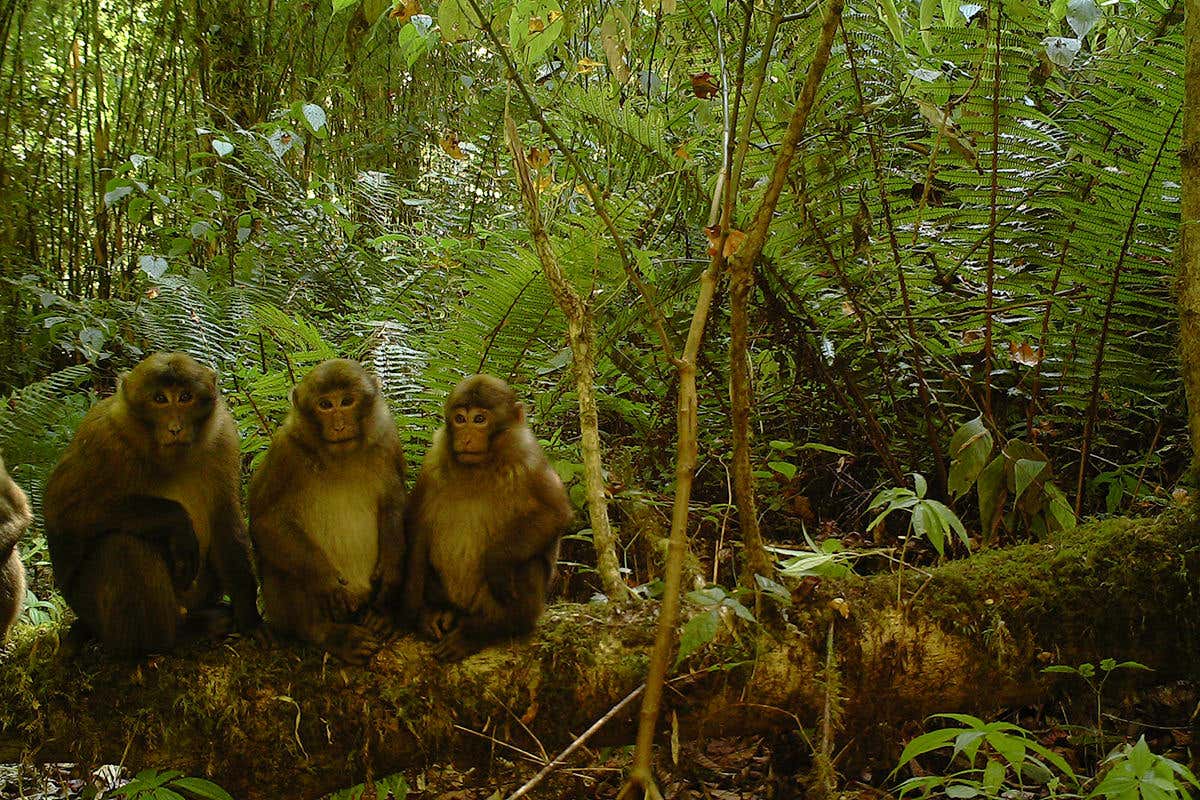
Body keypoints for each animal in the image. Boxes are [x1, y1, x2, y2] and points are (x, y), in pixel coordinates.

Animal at [43, 352, 261, 656]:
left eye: (185, 397)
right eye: (160, 399)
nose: (175, 428)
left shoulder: (224, 437)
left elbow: (225, 520)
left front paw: (249, 617)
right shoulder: (100, 436)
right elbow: (61, 513)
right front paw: (177, 522)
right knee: (123, 546)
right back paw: (171, 638)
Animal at [248, 359, 407, 665]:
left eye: (346, 401)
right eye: (325, 405)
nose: (339, 424)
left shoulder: (387, 440)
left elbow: (394, 501)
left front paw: (393, 567)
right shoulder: (285, 452)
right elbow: (266, 521)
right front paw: (326, 580)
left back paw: (384, 617)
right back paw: (327, 633)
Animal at [403, 374, 573, 661]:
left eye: (480, 419)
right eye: (460, 419)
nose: (466, 437)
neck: (480, 467)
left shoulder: (530, 459)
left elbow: (556, 513)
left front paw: (496, 561)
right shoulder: (433, 460)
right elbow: (417, 524)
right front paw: (420, 615)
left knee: (529, 563)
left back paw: (489, 628)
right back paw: (443, 611)